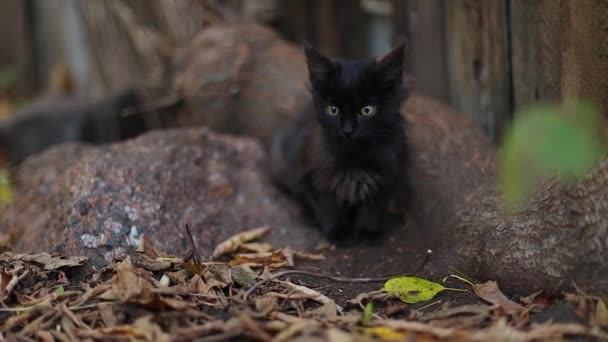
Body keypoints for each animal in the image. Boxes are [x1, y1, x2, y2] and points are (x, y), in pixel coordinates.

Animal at [272, 43, 408, 243]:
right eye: (333, 110)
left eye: (367, 110)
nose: (348, 131)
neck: (355, 158)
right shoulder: (311, 174)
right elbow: (327, 205)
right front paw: (339, 232)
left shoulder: (388, 173)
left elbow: (374, 206)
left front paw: (368, 231)